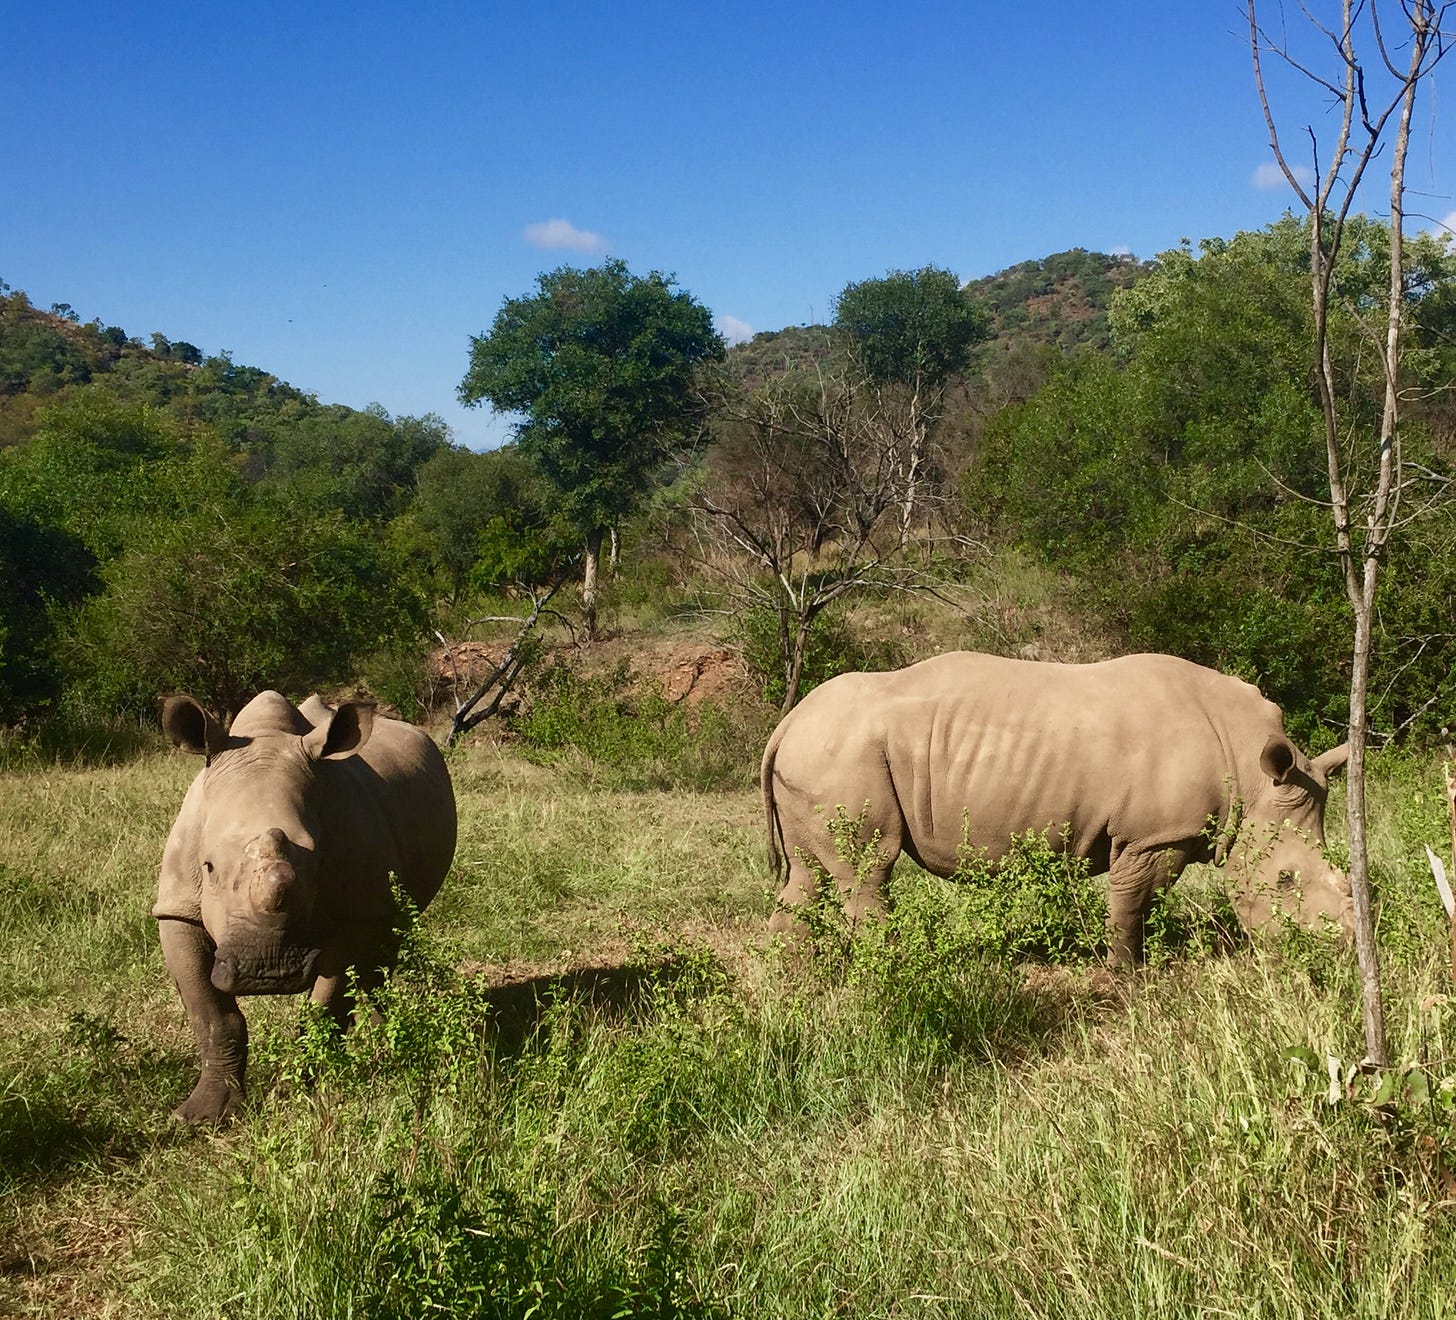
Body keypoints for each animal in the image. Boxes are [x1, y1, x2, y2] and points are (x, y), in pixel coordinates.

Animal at [154, 690, 457, 1121]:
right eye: (208, 866)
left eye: (319, 864)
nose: (267, 972)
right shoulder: (177, 907)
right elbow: (212, 1015)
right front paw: (202, 1114)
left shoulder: (357, 912)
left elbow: (325, 1004)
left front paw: (309, 1092)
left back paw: (382, 1037)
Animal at [762, 652, 1353, 965]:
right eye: (1285, 880)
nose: (1338, 951)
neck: (1249, 768)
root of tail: (788, 722)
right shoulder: (1155, 835)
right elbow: (1131, 904)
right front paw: (1125, 975)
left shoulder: (1158, 834)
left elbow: (1136, 903)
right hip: (839, 754)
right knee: (867, 871)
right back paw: (900, 970)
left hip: (815, 756)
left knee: (809, 876)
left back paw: (788, 982)